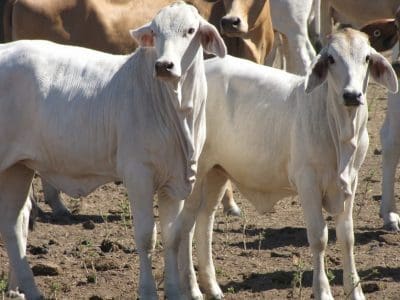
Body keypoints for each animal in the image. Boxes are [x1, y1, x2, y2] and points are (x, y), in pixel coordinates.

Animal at [0, 1, 227, 298]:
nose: (164, 65)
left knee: (14, 225)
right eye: (155, 31)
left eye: (190, 30)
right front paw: (148, 290)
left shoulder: (174, 181)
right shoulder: (138, 173)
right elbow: (146, 236)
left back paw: (29, 290)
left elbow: (173, 236)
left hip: (19, 168)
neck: (178, 111)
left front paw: (175, 291)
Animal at [177, 28, 396, 300]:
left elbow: (347, 236)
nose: (352, 95)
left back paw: (212, 287)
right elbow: (319, 237)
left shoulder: (350, 183)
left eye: (366, 58)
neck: (339, 130)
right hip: (196, 171)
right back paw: (191, 288)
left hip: (217, 172)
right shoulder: (308, 183)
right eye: (331, 59)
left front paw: (355, 291)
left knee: (204, 221)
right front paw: (323, 291)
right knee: (185, 225)